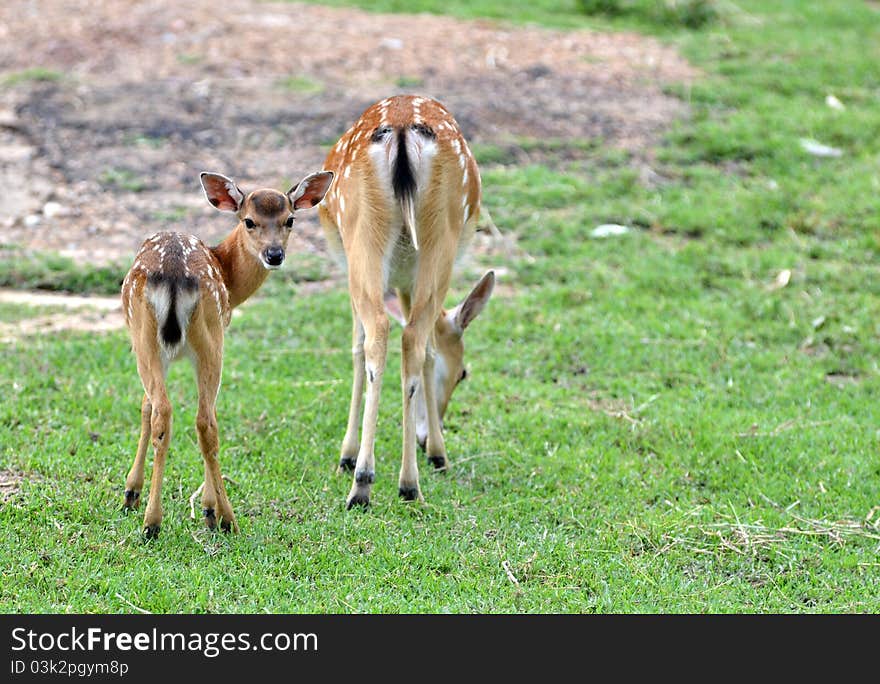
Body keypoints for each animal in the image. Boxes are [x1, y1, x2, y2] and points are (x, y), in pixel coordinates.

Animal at [120, 168, 334, 536]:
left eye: (289, 219)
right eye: (249, 221)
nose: (274, 254)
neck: (228, 274)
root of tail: (173, 274)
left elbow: (145, 407)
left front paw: (131, 492)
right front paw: (208, 508)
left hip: (146, 339)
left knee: (165, 411)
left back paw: (153, 520)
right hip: (211, 337)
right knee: (205, 421)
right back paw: (225, 517)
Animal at [316, 93, 496, 504]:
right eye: (463, 373)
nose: (429, 435)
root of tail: (401, 130)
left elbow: (359, 346)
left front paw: (347, 454)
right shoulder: (403, 279)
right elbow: (425, 348)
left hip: (367, 234)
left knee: (387, 335)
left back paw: (372, 480)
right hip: (433, 240)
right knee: (410, 338)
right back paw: (398, 480)